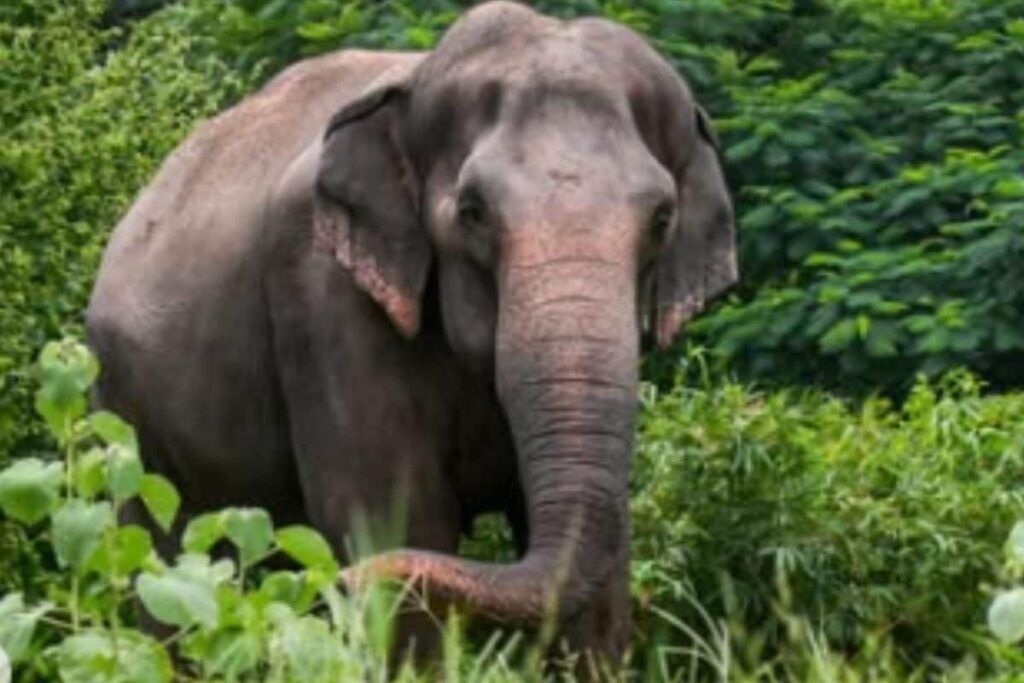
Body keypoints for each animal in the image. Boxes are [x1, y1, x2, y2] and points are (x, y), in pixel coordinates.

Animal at [86, 0, 736, 666]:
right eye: (472, 212)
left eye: (661, 219)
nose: (338, 582)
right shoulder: (318, 285)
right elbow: (391, 515)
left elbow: (603, 557)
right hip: (126, 420)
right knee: (168, 560)